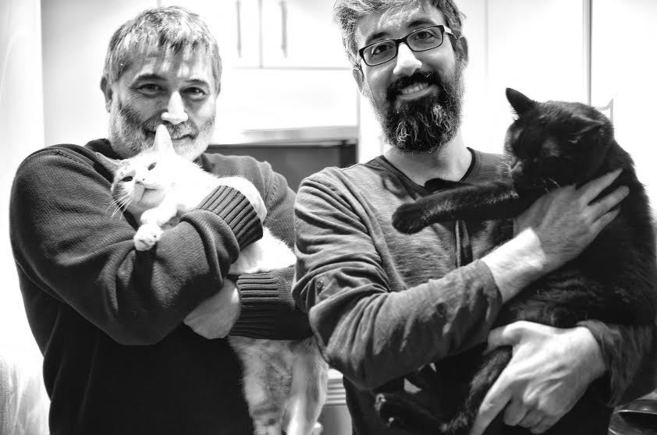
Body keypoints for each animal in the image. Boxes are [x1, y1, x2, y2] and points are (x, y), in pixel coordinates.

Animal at [99, 125, 327, 435]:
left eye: (152, 166)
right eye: (127, 178)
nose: (141, 181)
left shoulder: (195, 195)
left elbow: (170, 202)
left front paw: (154, 217)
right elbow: (154, 226)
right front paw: (146, 234)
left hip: (309, 387)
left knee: (300, 425)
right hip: (259, 391)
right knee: (268, 422)